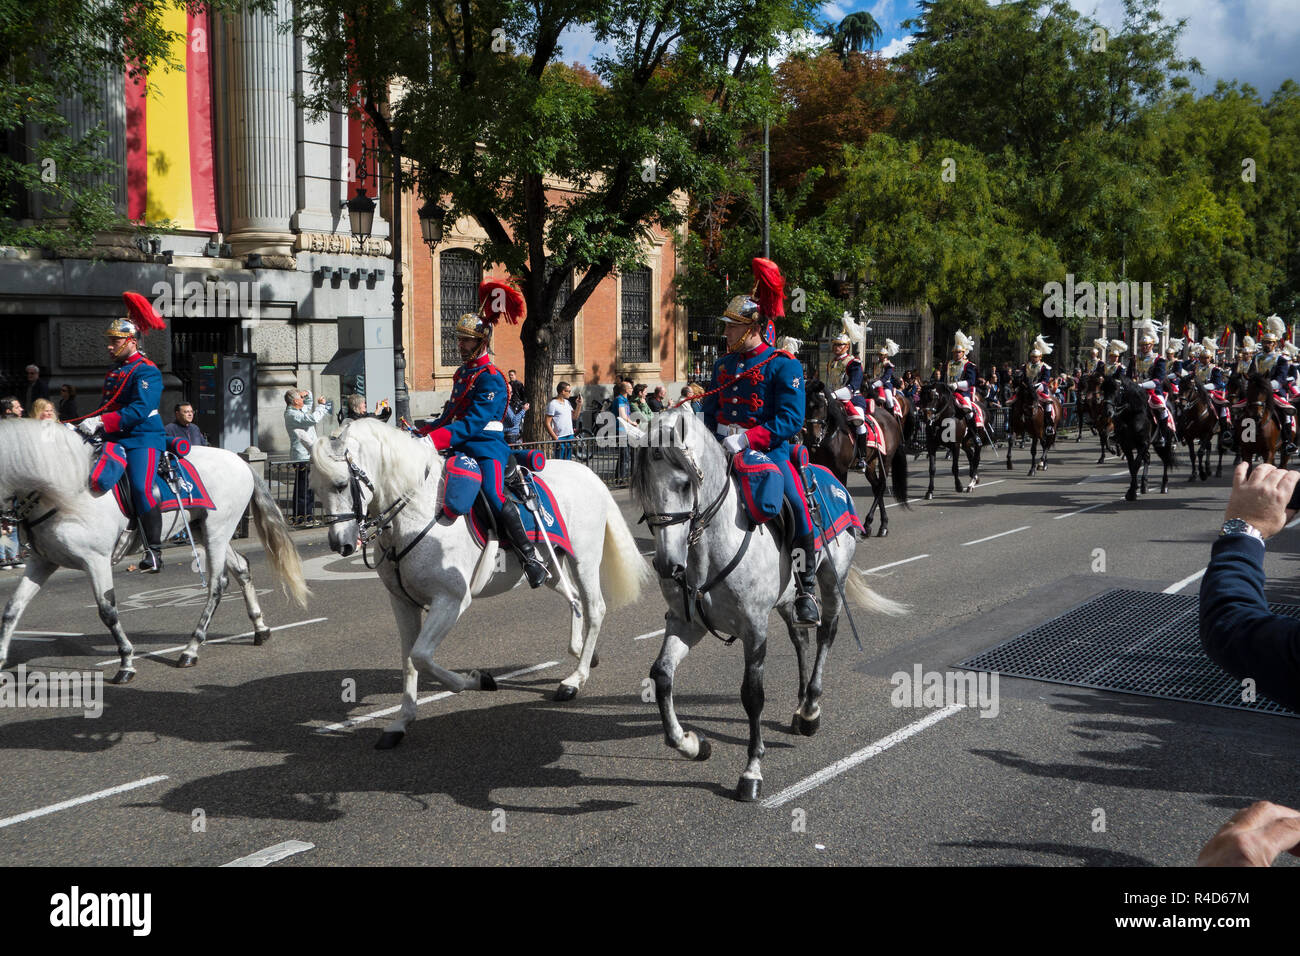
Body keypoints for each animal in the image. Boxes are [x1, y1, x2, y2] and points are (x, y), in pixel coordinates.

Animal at [0, 418, 309, 681]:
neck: (63, 488)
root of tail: (240, 462)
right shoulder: (42, 561)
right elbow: (12, 609)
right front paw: (2, 660)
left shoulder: (95, 560)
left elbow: (107, 611)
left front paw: (126, 661)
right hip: (204, 530)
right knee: (241, 568)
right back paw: (260, 628)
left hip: (218, 530)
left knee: (216, 585)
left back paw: (191, 648)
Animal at [305, 418, 650, 749]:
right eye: (314, 490)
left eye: (340, 484)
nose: (340, 544)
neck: (415, 512)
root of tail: (589, 475)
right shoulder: (402, 602)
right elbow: (409, 660)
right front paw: (401, 722)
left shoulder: (451, 600)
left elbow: (421, 656)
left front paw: (476, 680)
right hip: (553, 566)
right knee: (575, 599)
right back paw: (582, 653)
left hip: (584, 559)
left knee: (594, 608)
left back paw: (574, 680)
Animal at [629, 411, 904, 801]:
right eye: (644, 487)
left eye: (683, 484)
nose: (667, 565)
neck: (707, 550)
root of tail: (831, 478)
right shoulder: (686, 623)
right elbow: (662, 676)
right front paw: (692, 743)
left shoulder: (754, 627)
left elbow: (752, 696)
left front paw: (751, 771)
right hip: (789, 600)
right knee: (801, 640)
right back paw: (801, 706)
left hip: (832, 580)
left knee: (826, 635)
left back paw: (811, 709)